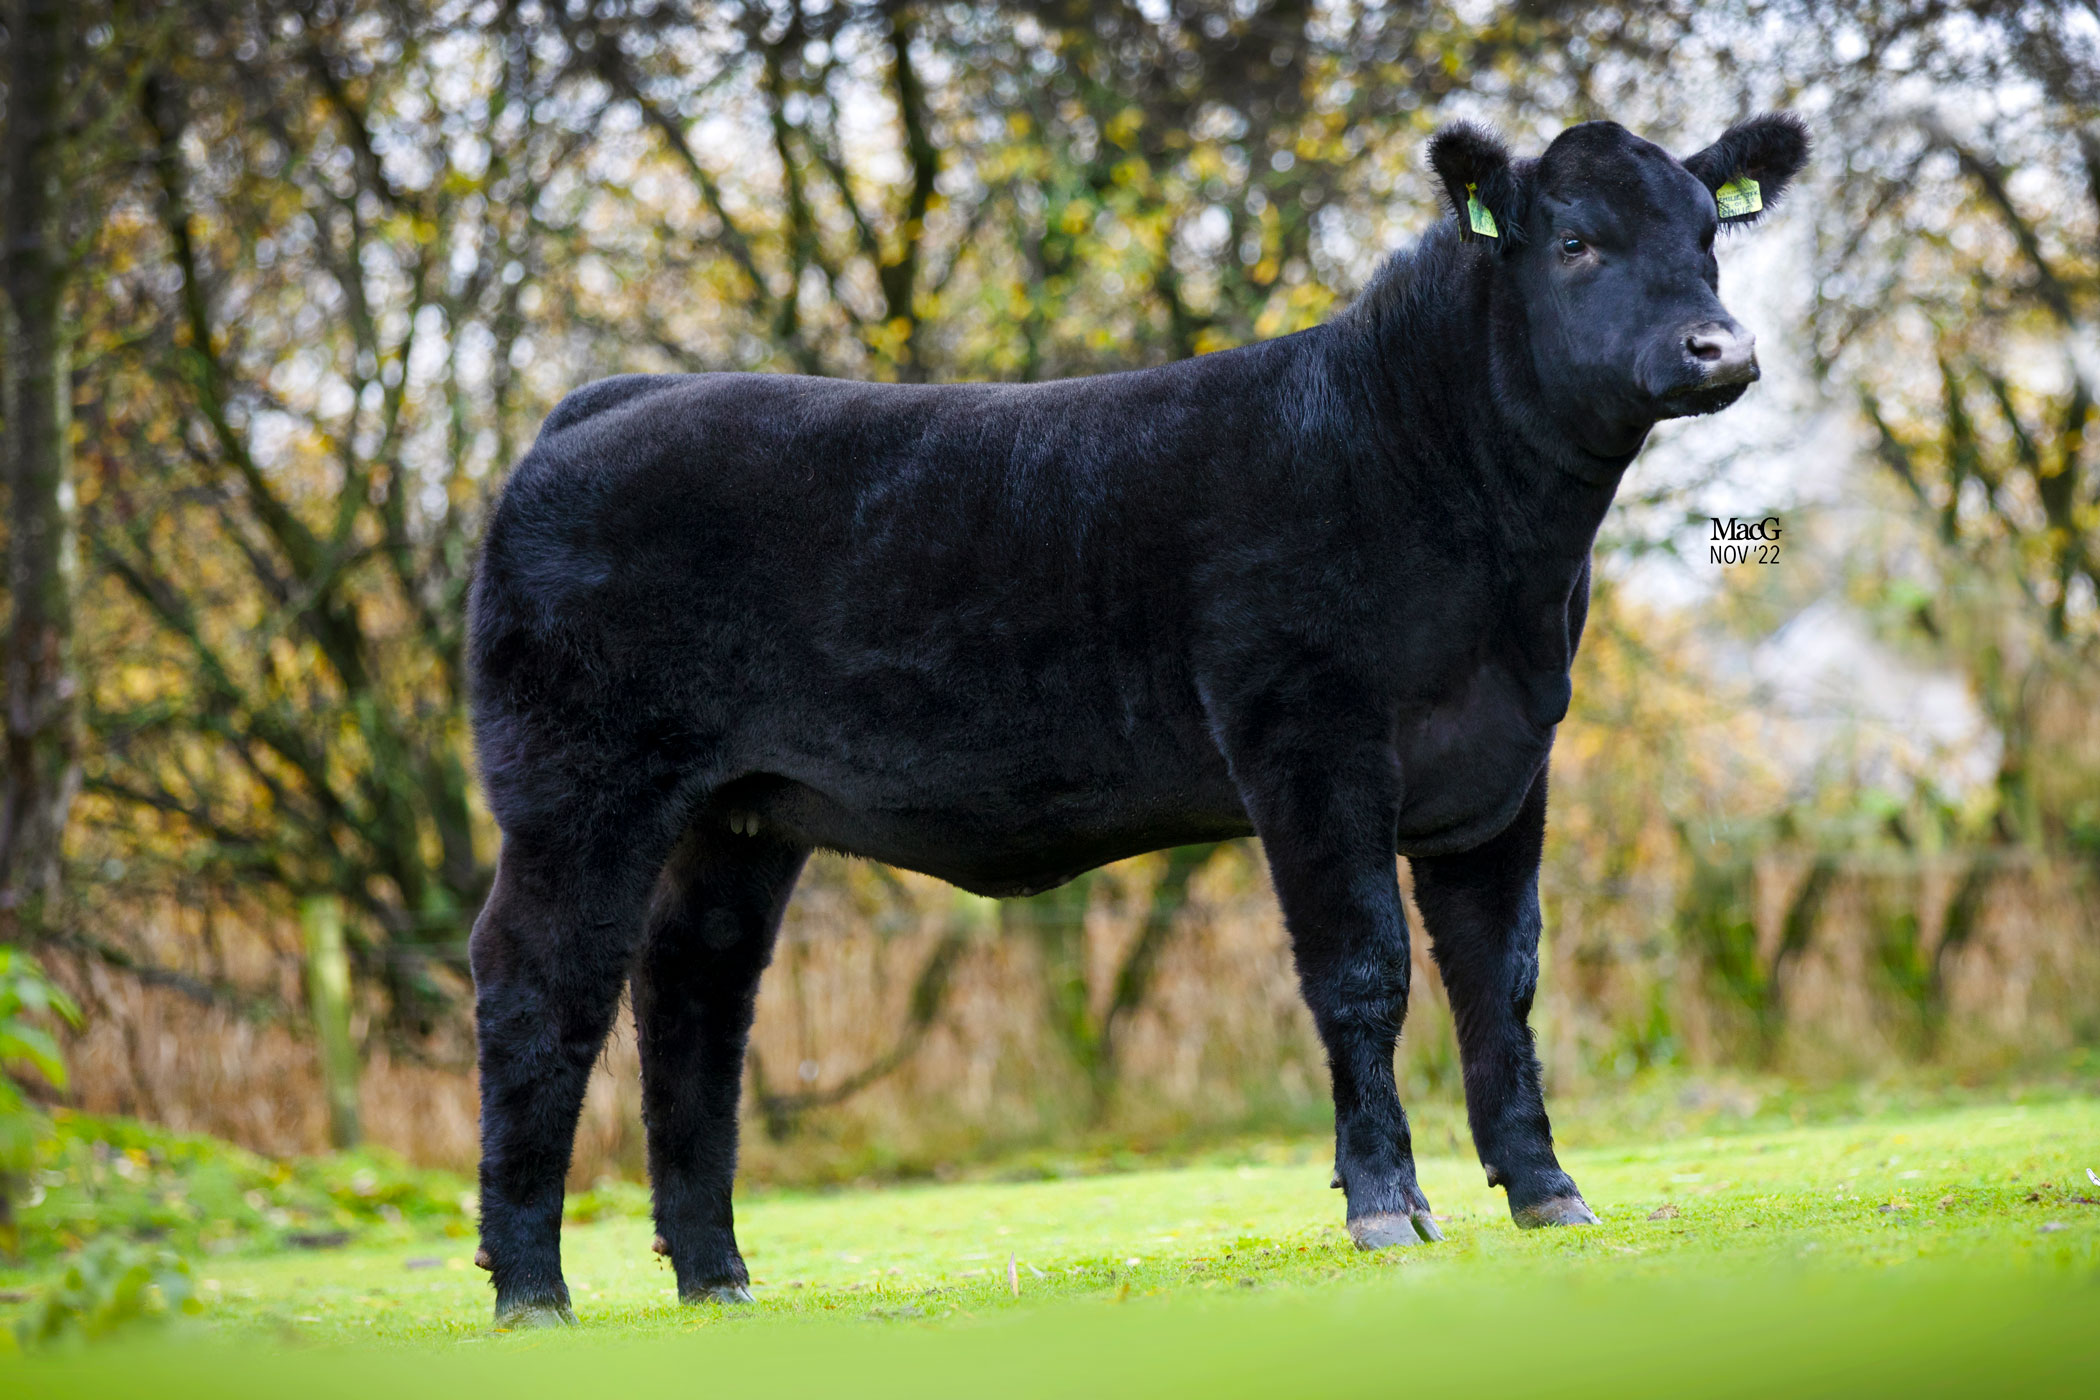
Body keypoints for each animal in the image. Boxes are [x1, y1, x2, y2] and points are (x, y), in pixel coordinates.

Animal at [464, 112, 1805, 1326]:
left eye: (1708, 235)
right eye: (1574, 241)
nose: (1719, 346)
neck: (1490, 552)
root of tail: (605, 403)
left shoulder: (1505, 763)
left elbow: (1502, 978)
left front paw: (1545, 1188)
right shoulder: (1308, 741)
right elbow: (1362, 969)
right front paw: (1386, 1202)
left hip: (741, 815)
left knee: (695, 998)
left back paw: (716, 1275)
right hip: (579, 786)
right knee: (539, 983)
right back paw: (532, 1288)